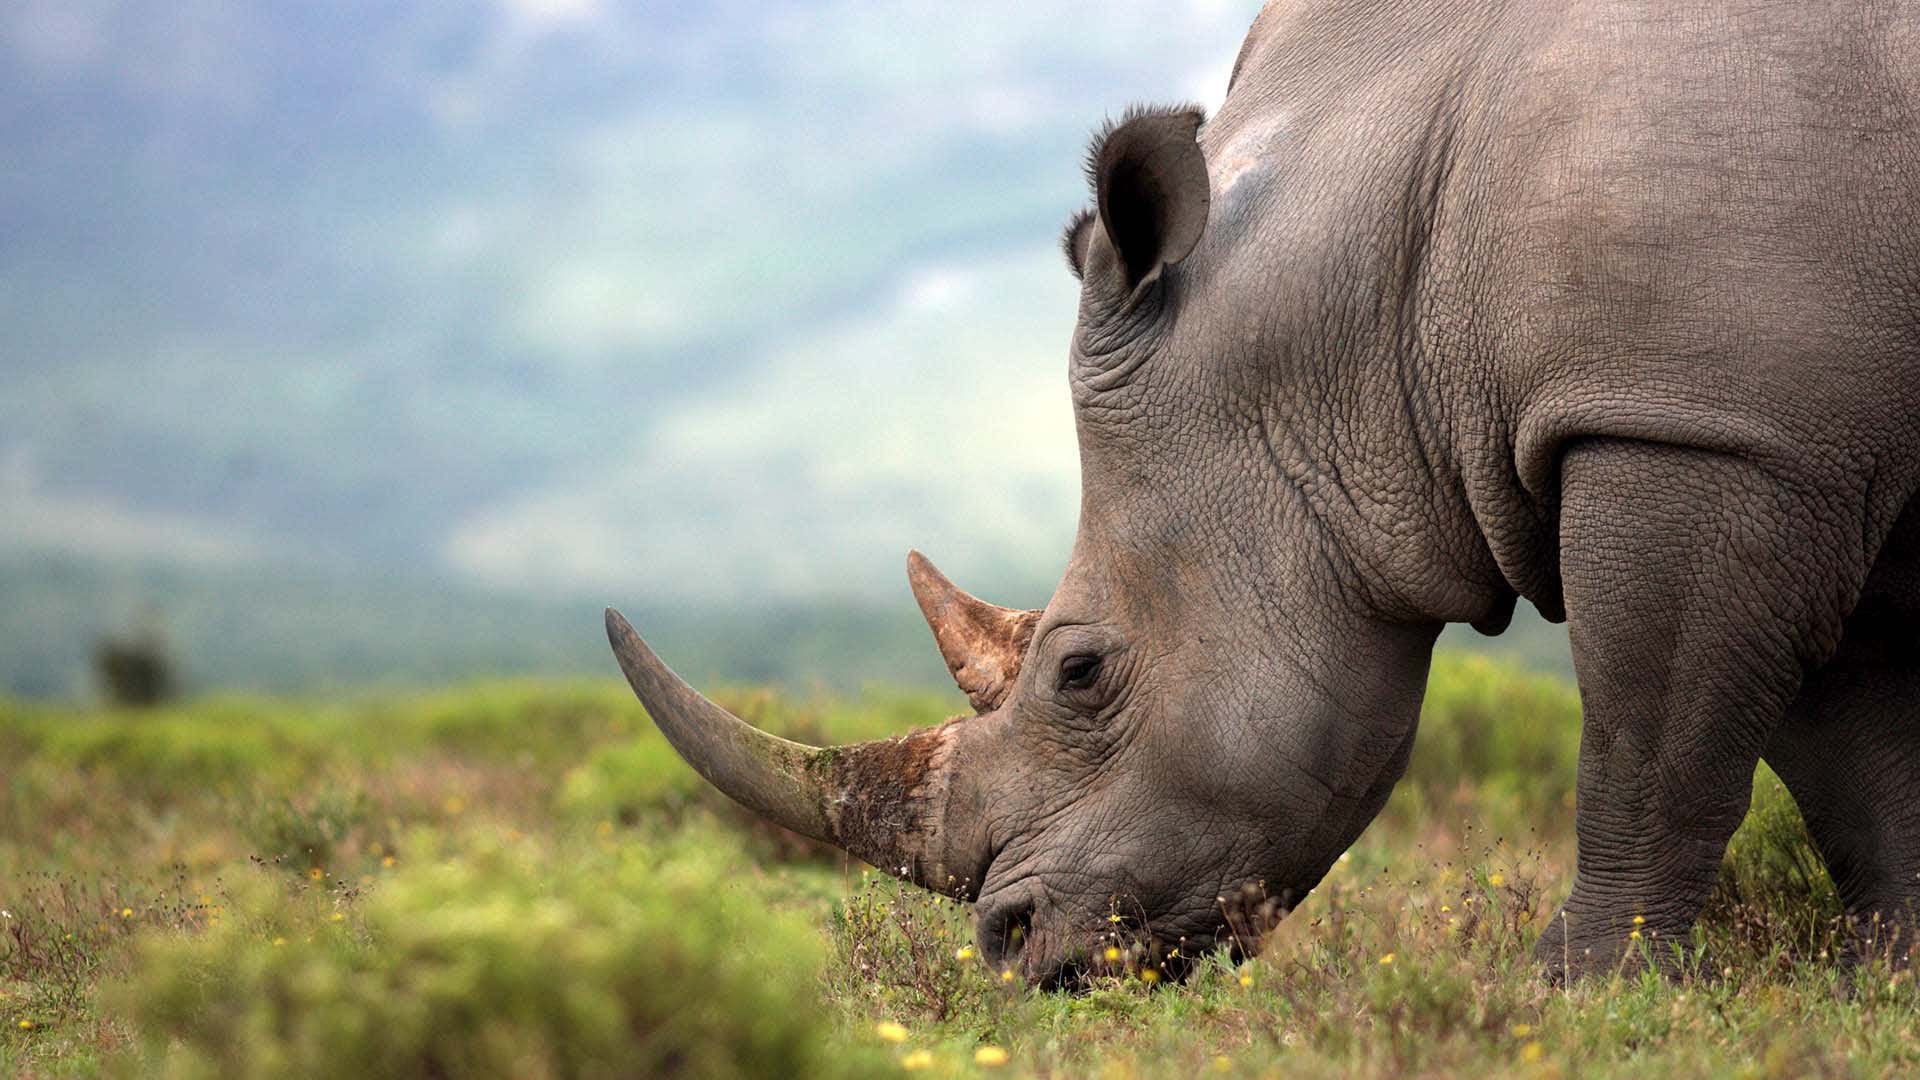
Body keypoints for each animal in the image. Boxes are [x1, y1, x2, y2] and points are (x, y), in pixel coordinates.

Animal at [607, 0, 1920, 984]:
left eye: (1081, 673)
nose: (1009, 946)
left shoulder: (1697, 424)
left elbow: (1653, 739)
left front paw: (1583, 993)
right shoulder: (1788, 438)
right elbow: (1852, 751)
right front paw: (1888, 976)